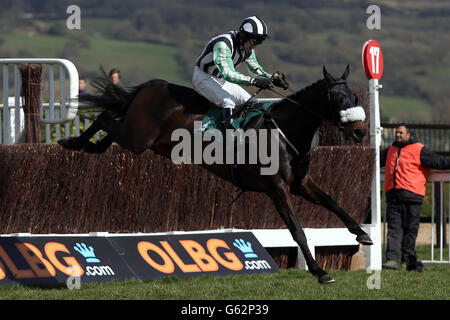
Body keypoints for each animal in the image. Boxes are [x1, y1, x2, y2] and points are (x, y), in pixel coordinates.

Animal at [58, 65, 370, 282]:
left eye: (354, 95)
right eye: (337, 98)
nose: (360, 131)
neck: (285, 131)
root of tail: (154, 85)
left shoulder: (301, 183)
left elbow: (333, 201)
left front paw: (362, 234)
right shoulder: (277, 188)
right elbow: (298, 230)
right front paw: (320, 272)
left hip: (144, 140)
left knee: (109, 129)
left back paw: (88, 146)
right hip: (138, 137)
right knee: (104, 118)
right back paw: (72, 142)